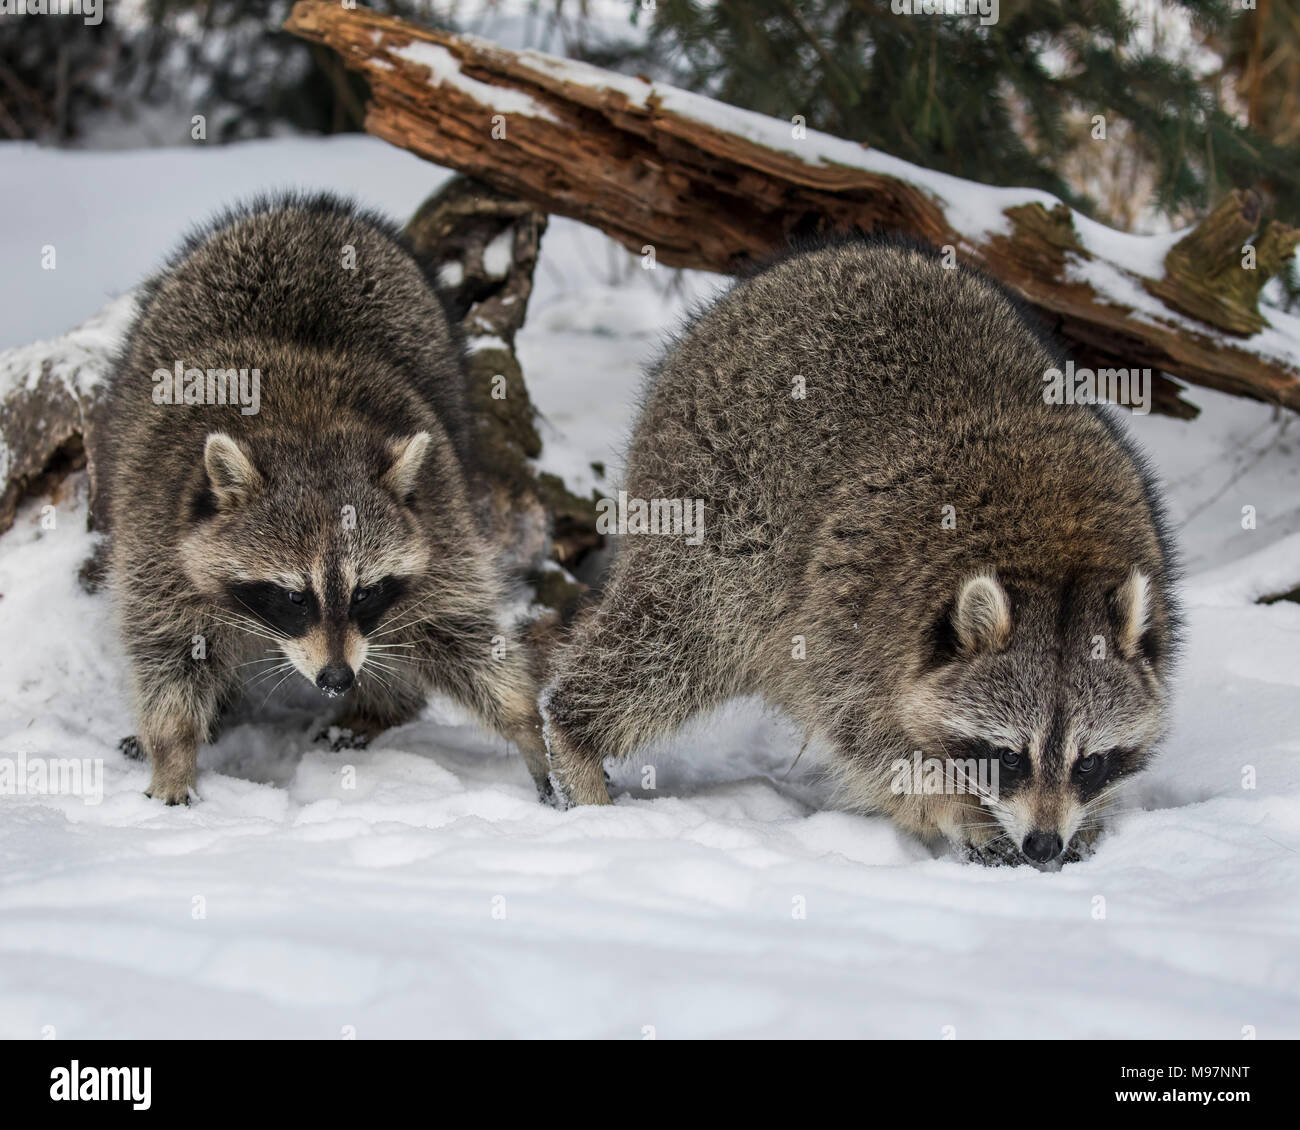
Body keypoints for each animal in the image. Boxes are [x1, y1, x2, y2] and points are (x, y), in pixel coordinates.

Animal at [102, 196, 548, 811]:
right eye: (293, 596)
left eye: (365, 592)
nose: (337, 680)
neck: (304, 424)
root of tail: (310, 209)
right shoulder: (155, 525)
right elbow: (165, 648)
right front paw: (172, 753)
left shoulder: (438, 516)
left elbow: (457, 629)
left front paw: (526, 722)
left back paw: (377, 709)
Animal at [538, 237, 1180, 863]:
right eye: (1008, 758)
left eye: (1089, 762)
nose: (1044, 846)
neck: (1054, 550)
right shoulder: (856, 600)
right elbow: (867, 739)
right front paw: (952, 804)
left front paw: (1088, 820)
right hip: (714, 503)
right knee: (672, 639)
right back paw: (571, 729)